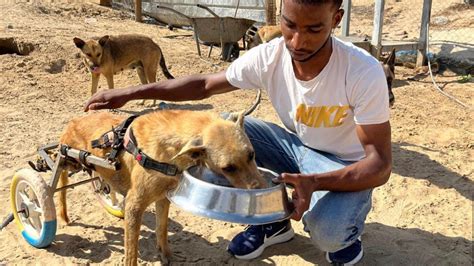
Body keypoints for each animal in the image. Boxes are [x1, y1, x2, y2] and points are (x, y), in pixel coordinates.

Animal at [56, 109, 266, 264]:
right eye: (227, 168)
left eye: (252, 154)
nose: (260, 189)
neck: (167, 152)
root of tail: (74, 120)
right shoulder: (134, 206)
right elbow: (131, 252)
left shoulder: (163, 198)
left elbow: (161, 229)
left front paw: (166, 255)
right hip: (65, 162)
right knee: (60, 189)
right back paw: (62, 216)